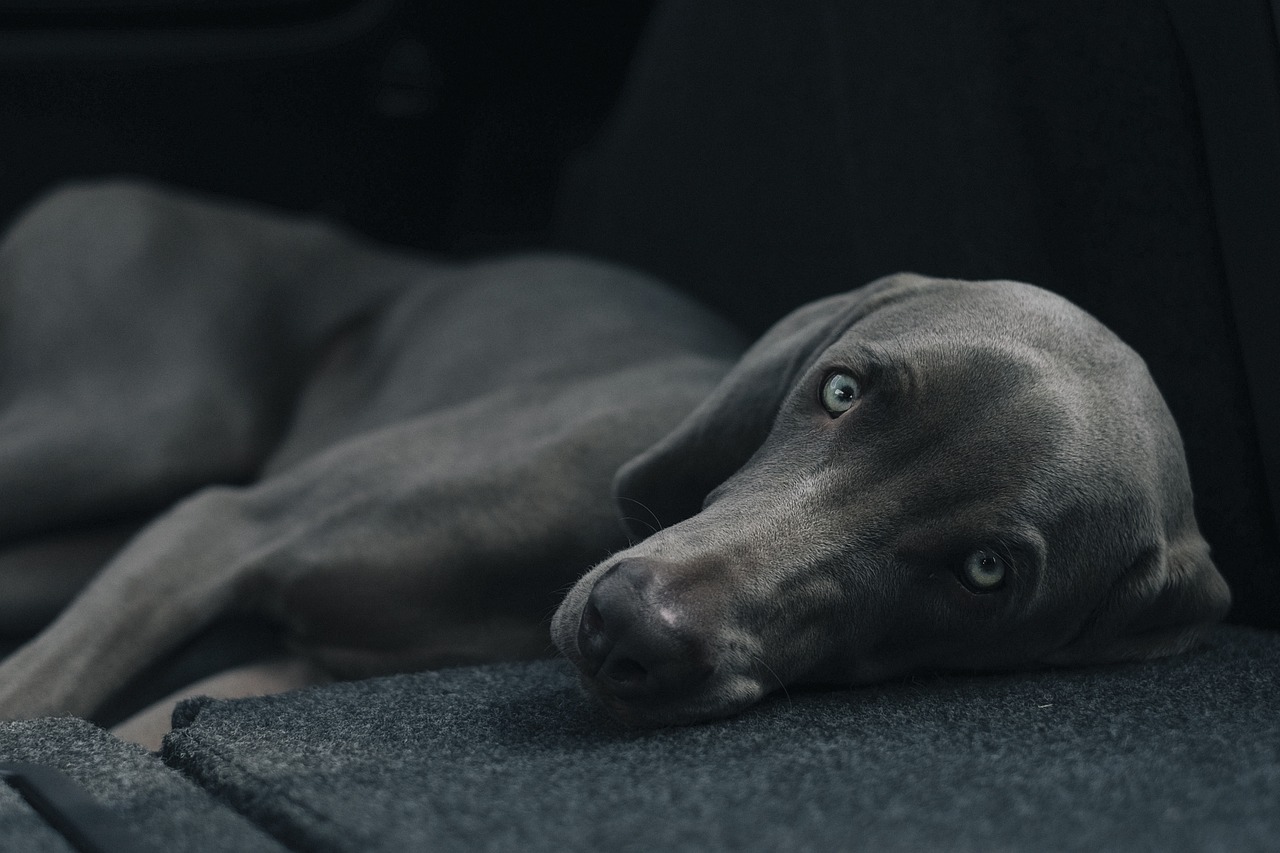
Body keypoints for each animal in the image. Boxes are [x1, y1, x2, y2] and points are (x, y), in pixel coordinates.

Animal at [0, 183, 1228, 727]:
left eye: (985, 573)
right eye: (839, 390)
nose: (625, 627)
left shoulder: (286, 671)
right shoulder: (220, 527)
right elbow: (34, 701)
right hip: (133, 421)